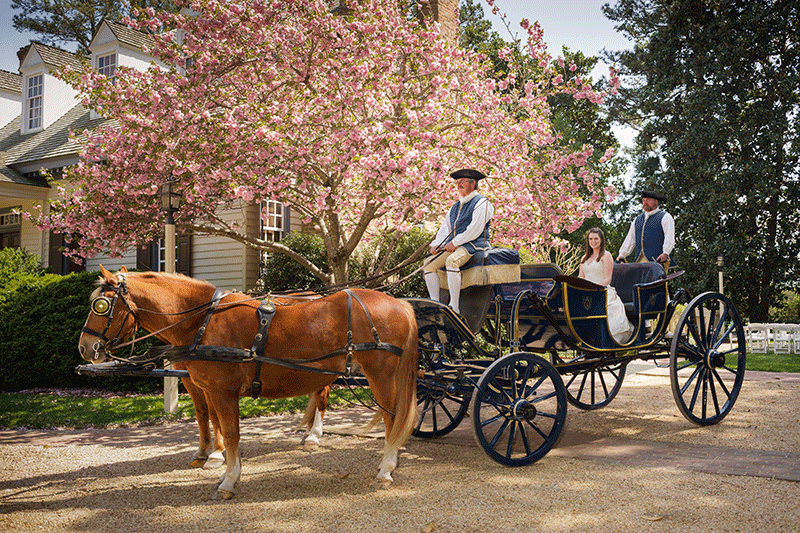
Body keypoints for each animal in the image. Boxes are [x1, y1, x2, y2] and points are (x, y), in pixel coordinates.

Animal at [78, 266, 418, 498]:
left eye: (101, 306)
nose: (85, 347)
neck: (202, 321)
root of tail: (399, 303)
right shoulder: (206, 387)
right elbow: (211, 420)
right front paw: (215, 461)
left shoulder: (222, 390)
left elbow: (230, 433)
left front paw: (228, 477)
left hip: (380, 375)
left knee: (392, 417)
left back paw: (385, 467)